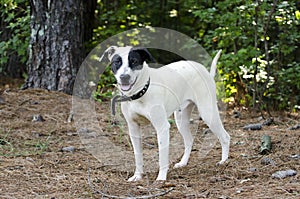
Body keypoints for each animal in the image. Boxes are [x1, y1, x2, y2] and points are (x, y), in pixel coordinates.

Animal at [101, 45, 230, 181]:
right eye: (117, 62)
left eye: (134, 61)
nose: (124, 77)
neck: (140, 92)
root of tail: (204, 70)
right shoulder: (133, 128)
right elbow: (138, 155)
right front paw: (137, 175)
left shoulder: (162, 128)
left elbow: (162, 157)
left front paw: (161, 178)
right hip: (180, 119)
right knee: (189, 140)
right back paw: (183, 163)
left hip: (208, 113)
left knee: (225, 136)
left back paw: (223, 161)